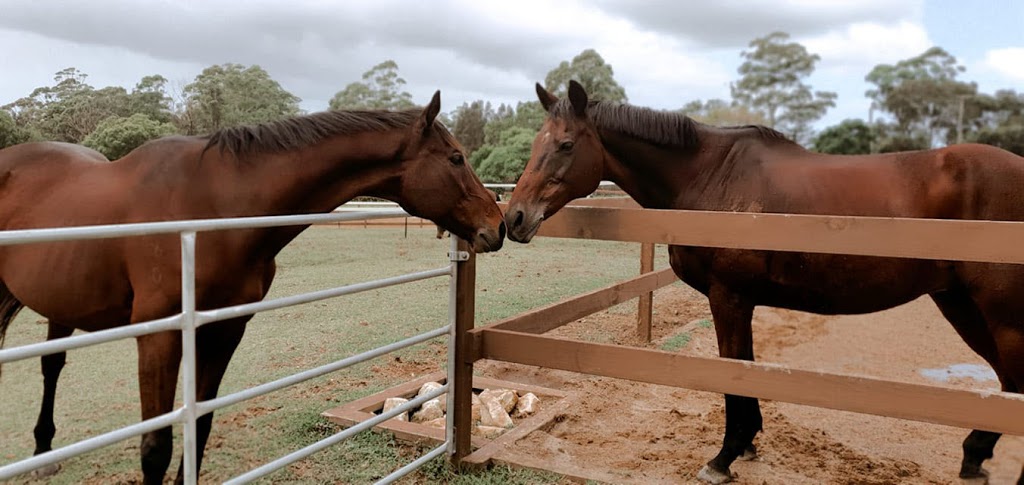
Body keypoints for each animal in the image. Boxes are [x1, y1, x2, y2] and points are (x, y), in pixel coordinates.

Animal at [0, 92, 503, 484]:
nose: (497, 226)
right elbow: (156, 447)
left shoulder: (226, 329)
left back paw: (43, 456)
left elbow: (199, 427)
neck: (214, 208)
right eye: (455, 158)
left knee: (51, 366)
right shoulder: (159, 335)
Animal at [505, 81, 1024, 482]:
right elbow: (747, 368)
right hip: (961, 305)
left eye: (566, 145)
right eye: (534, 144)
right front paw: (748, 444)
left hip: (1000, 315)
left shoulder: (729, 298)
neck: (711, 176)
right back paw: (974, 456)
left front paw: (723, 457)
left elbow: (734, 371)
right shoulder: (743, 301)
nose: (514, 218)